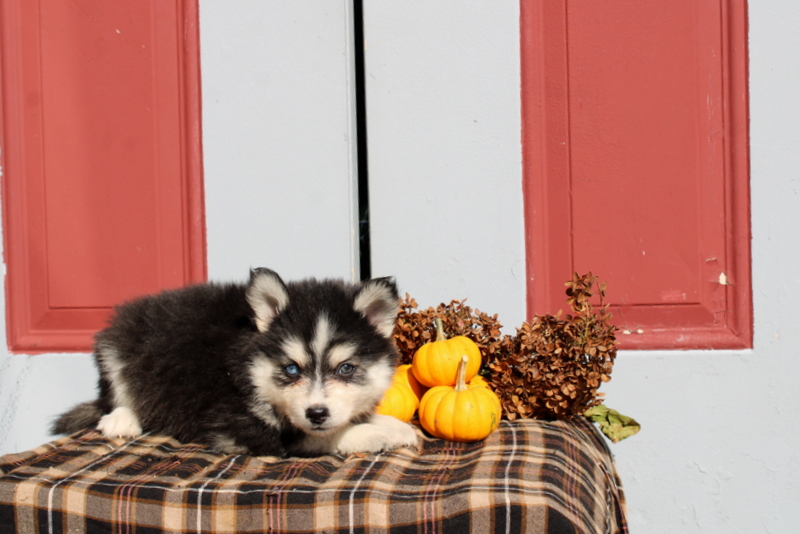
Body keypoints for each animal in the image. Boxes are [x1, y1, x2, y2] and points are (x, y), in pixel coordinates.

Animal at [53, 270, 418, 458]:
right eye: (291, 369)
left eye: (346, 368)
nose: (316, 413)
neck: (246, 365)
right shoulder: (233, 423)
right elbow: (313, 437)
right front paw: (369, 434)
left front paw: (393, 426)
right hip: (117, 348)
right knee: (115, 396)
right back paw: (121, 419)